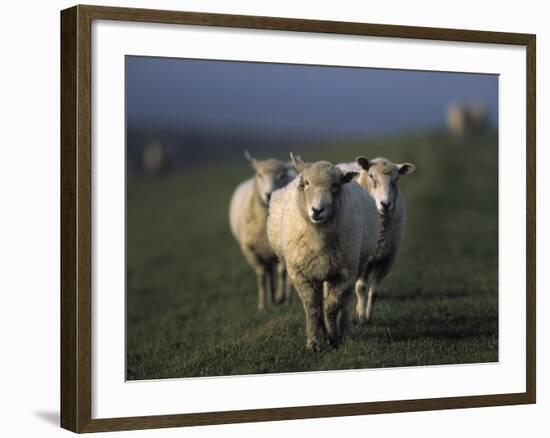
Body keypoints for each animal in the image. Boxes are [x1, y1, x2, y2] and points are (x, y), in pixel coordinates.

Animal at [229, 152, 298, 310]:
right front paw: (262, 305)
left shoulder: (280, 247)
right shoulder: (250, 249)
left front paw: (282, 297)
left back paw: (280, 298)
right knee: (268, 272)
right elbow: (261, 276)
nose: (268, 194)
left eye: (282, 175)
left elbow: (282, 272)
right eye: (260, 175)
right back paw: (270, 299)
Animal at [270, 156, 382, 350]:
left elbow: (332, 306)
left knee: (345, 301)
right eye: (306, 183)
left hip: (354, 267)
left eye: (335, 186)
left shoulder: (344, 274)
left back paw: (343, 330)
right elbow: (313, 307)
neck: (318, 237)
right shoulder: (301, 274)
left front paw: (333, 337)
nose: (317, 210)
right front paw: (315, 341)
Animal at [342, 156, 416, 324]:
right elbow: (361, 288)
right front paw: (361, 319)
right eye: (371, 176)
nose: (385, 204)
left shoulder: (386, 259)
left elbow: (374, 292)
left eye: (396, 179)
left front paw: (367, 317)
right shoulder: (363, 258)